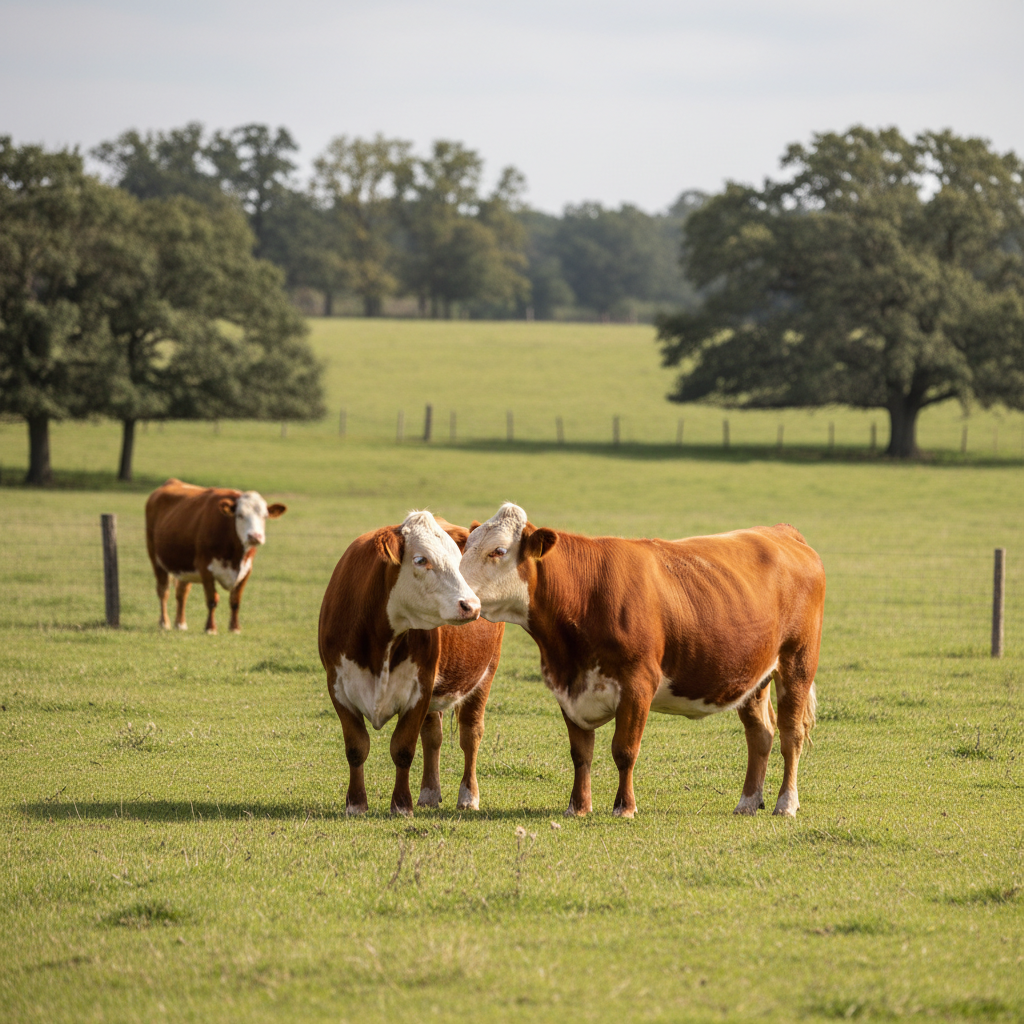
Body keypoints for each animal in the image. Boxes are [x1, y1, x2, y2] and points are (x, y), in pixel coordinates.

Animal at [145, 478, 287, 635]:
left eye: (265, 516)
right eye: (240, 515)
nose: (254, 536)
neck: (235, 557)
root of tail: (172, 481)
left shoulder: (247, 569)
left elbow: (235, 600)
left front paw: (234, 628)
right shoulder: (205, 567)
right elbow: (212, 599)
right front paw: (210, 628)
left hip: (184, 565)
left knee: (182, 592)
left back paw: (180, 624)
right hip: (155, 558)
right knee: (163, 591)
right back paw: (164, 623)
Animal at [318, 511, 505, 816]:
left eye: (459, 560)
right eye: (420, 560)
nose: (471, 605)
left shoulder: (420, 689)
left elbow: (403, 749)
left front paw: (401, 805)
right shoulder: (338, 686)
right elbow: (356, 747)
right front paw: (356, 804)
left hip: (484, 675)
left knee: (470, 734)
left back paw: (468, 796)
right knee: (432, 736)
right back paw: (429, 792)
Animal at [460, 503, 825, 819]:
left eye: (498, 551)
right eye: (464, 550)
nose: (462, 600)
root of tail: (780, 531)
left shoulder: (638, 684)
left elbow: (624, 750)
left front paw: (624, 807)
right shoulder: (568, 688)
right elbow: (581, 754)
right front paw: (577, 806)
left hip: (797, 662)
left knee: (791, 734)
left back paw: (785, 803)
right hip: (753, 675)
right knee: (760, 734)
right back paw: (748, 802)